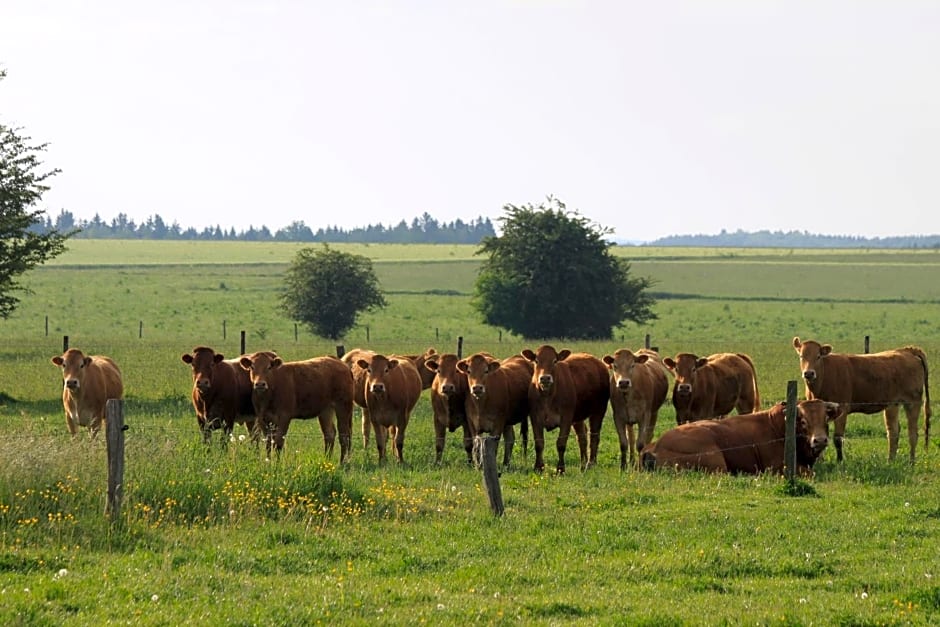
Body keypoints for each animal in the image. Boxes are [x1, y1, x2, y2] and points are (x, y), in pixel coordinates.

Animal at [520, 346, 608, 474]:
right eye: (536, 361)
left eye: (555, 361)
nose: (545, 378)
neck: (548, 397)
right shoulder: (535, 418)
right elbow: (539, 443)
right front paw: (538, 467)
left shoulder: (566, 418)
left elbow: (561, 444)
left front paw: (560, 469)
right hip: (578, 417)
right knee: (582, 437)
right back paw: (582, 465)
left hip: (598, 411)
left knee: (594, 436)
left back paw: (590, 464)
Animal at [644, 402, 840, 476]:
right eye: (803, 421)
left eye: (826, 418)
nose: (819, 440)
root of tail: (655, 447)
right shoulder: (777, 467)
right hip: (717, 462)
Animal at [788, 336, 928, 464]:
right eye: (801, 356)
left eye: (818, 356)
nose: (808, 373)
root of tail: (907, 350)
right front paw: (820, 460)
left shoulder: (842, 410)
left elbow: (838, 438)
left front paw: (840, 461)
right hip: (893, 405)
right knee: (893, 432)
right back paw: (890, 460)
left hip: (913, 403)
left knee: (912, 433)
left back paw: (911, 461)